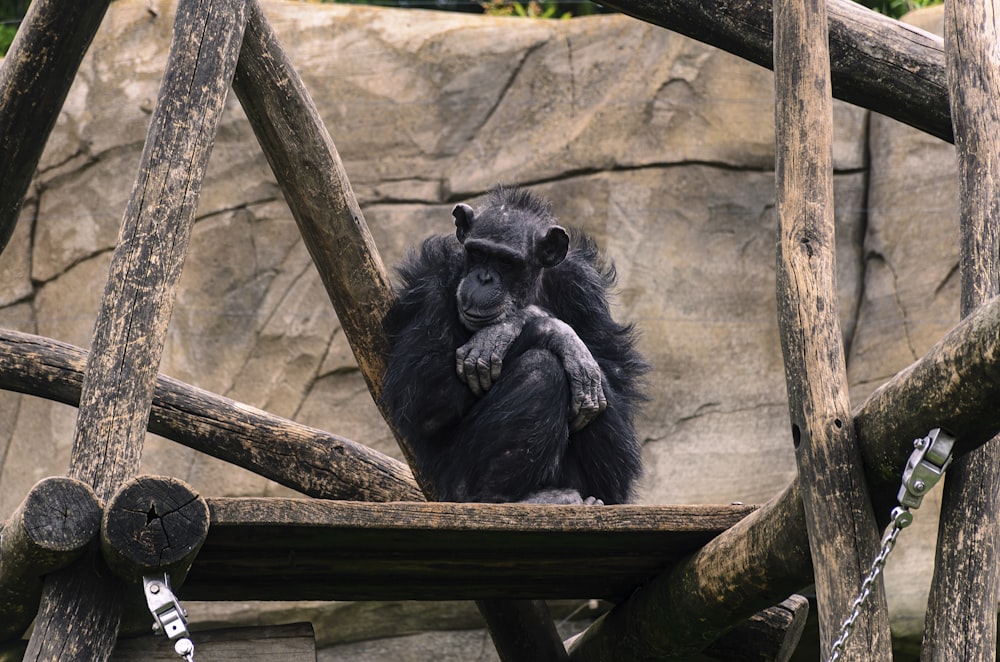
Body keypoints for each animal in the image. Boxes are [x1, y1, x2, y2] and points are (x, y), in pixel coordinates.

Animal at [376, 184, 648, 506]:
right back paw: (508, 498)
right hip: (454, 487)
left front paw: (506, 331)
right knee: (542, 369)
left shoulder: (582, 285)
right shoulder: (433, 280)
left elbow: (617, 377)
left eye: (506, 261)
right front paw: (542, 328)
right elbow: (423, 394)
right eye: (478, 253)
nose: (483, 278)